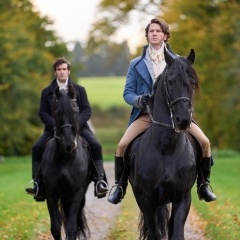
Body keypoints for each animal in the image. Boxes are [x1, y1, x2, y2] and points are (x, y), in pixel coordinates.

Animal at [41, 85, 90, 239]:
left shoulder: (76, 194)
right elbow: (56, 228)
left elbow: (72, 227)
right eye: (57, 112)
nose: (69, 144)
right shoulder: (51, 195)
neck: (65, 158)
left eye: (75, 109)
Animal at [127, 47, 201, 239]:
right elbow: (154, 233)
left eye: (192, 83)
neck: (167, 148)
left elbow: (177, 233)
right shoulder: (146, 200)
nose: (183, 120)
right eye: (170, 81)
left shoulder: (182, 198)